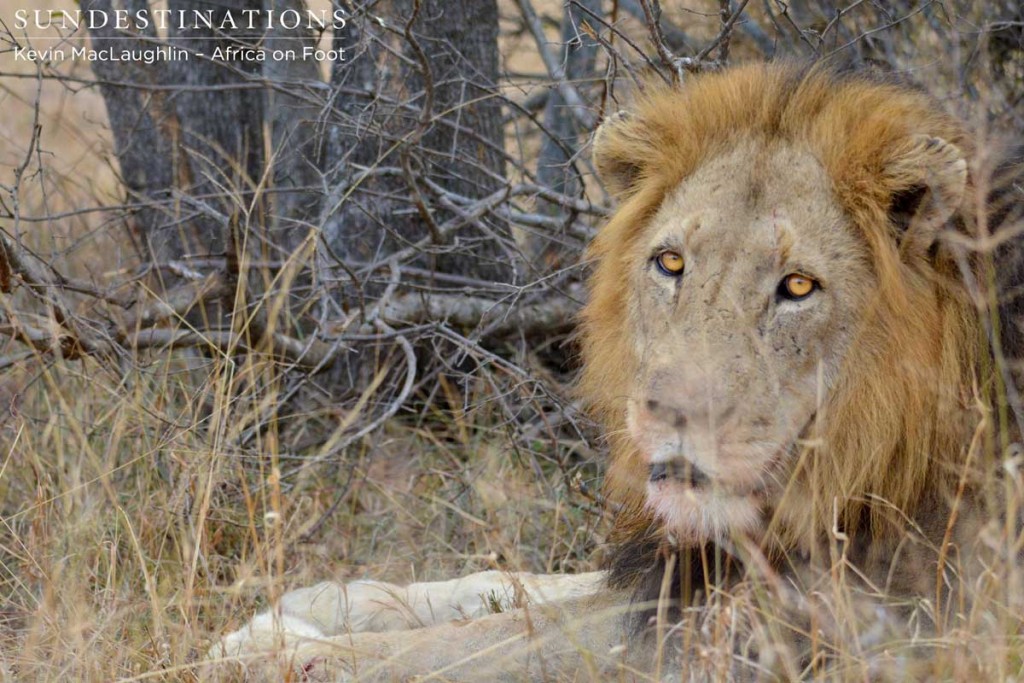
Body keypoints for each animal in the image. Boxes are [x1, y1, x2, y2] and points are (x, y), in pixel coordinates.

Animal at [207, 62, 1024, 679]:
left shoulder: (783, 631)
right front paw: (317, 604)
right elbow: (516, 587)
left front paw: (268, 651)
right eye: (671, 263)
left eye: (797, 286)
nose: (669, 412)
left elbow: (473, 647)